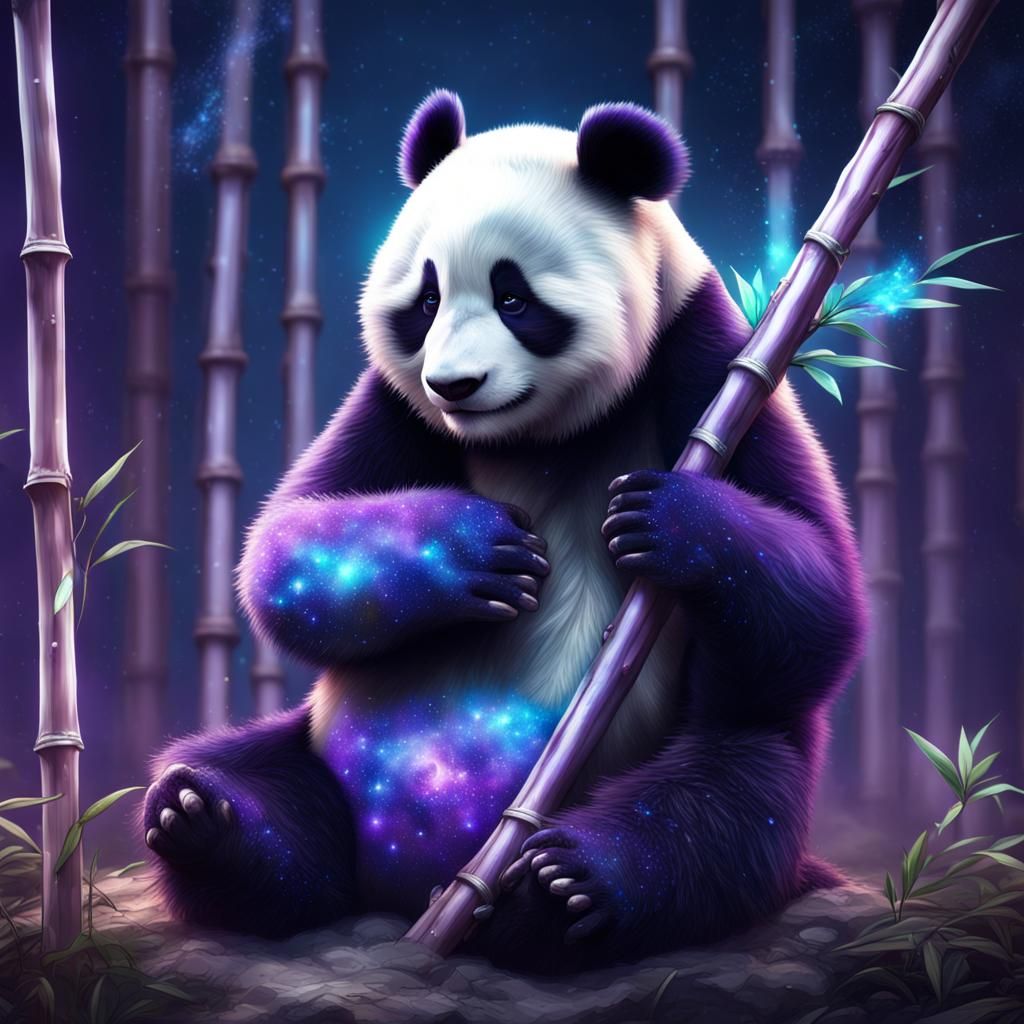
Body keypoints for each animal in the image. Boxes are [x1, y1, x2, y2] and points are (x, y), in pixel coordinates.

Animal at [142, 90, 867, 972]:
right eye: (424, 303)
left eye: (515, 299)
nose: (455, 383)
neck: (538, 438)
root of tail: (397, 889)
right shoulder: (398, 408)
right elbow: (285, 546)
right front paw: (484, 553)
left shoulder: (712, 363)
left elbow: (818, 601)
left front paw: (665, 520)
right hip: (314, 751)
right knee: (257, 787)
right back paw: (205, 823)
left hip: (705, 770)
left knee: (728, 803)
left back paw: (565, 888)